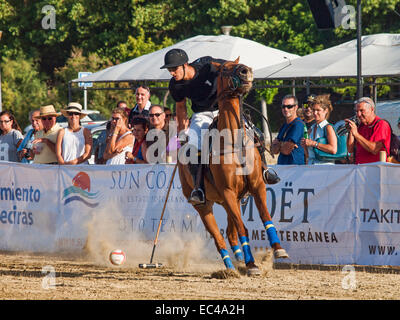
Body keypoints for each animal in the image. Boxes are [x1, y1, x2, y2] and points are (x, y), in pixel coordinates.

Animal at [178, 57, 288, 276]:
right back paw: (229, 269)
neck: (233, 142)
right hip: (205, 205)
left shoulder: (257, 186)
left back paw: (238, 262)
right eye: (224, 69)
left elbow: (265, 216)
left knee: (230, 233)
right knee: (219, 237)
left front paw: (278, 250)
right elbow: (243, 228)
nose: (247, 71)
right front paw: (252, 265)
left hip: (233, 201)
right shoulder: (227, 191)